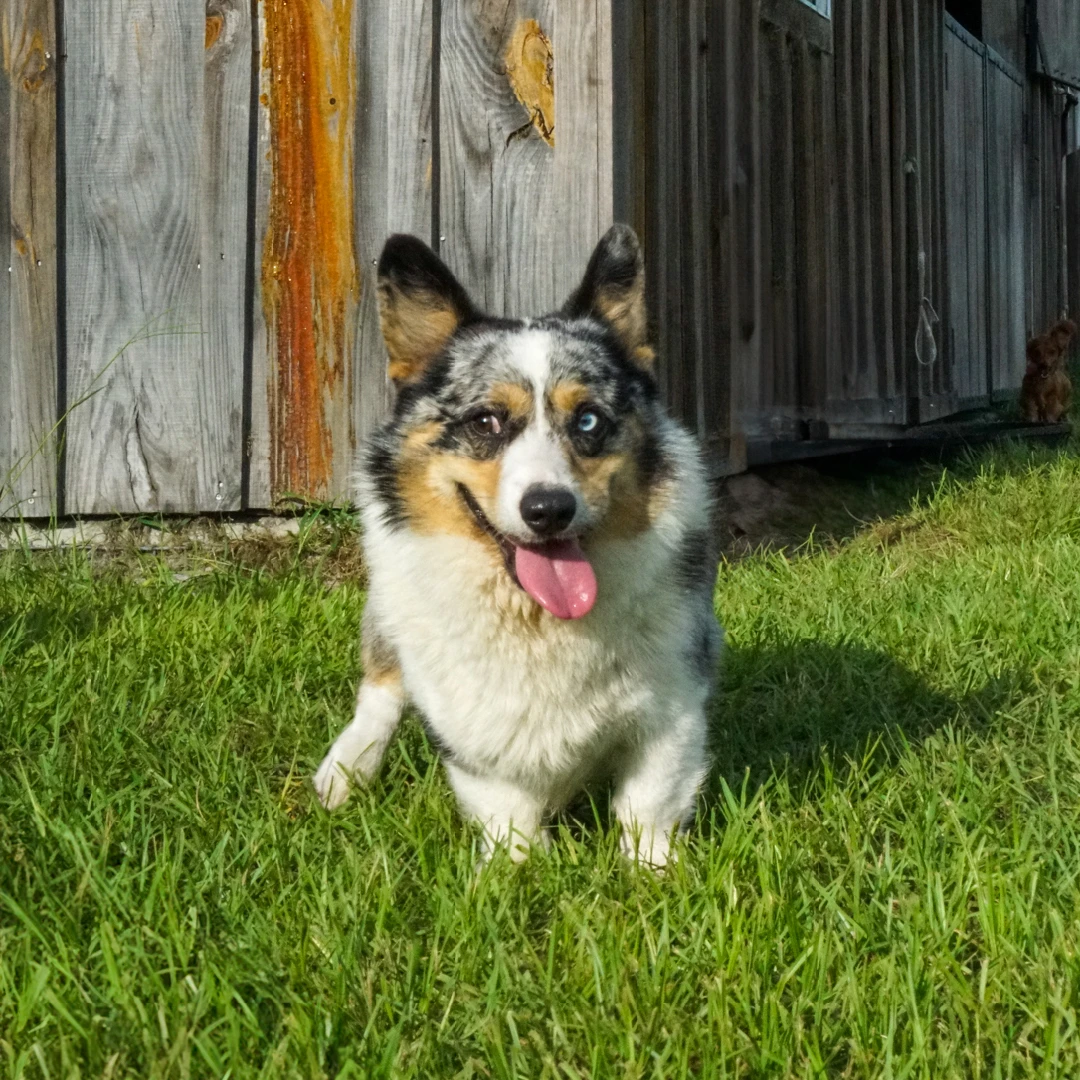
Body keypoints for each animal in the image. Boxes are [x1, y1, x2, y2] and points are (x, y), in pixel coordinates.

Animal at [313, 227, 721, 868]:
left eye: (588, 421)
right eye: (486, 421)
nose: (549, 509)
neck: (537, 619)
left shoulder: (673, 708)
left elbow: (647, 806)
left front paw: (653, 873)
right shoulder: (472, 732)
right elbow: (508, 812)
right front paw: (517, 872)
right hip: (386, 613)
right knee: (379, 692)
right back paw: (345, 771)